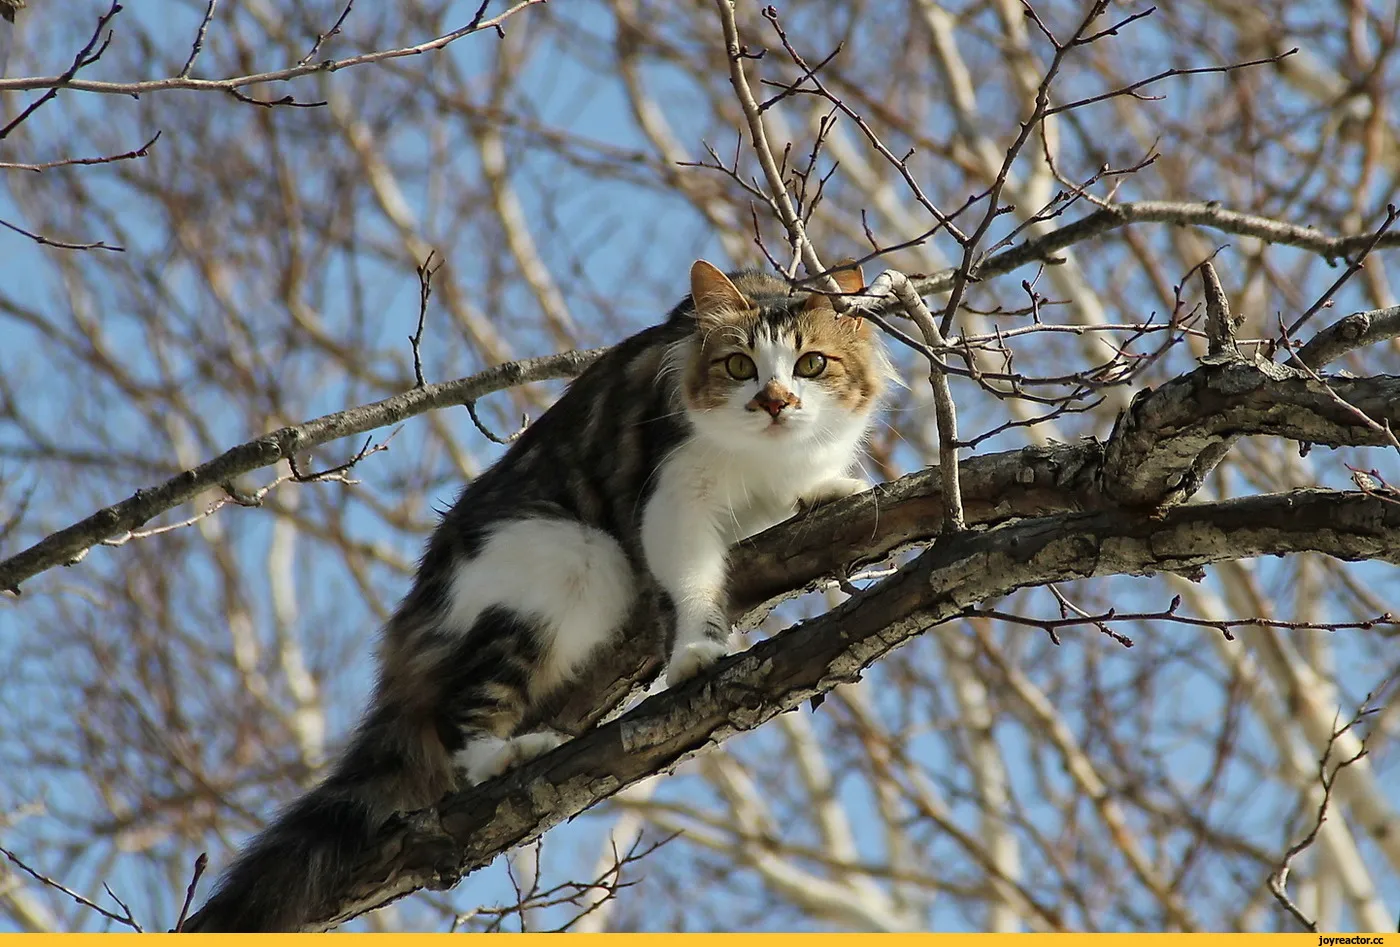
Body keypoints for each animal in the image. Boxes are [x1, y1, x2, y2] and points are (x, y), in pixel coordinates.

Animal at [183, 259, 884, 930]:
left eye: (811, 364)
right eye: (740, 366)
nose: (774, 401)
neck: (768, 464)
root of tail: (408, 628)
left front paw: (827, 490)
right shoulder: (675, 496)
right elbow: (692, 586)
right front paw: (695, 653)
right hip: (572, 556)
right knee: (460, 718)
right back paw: (506, 754)